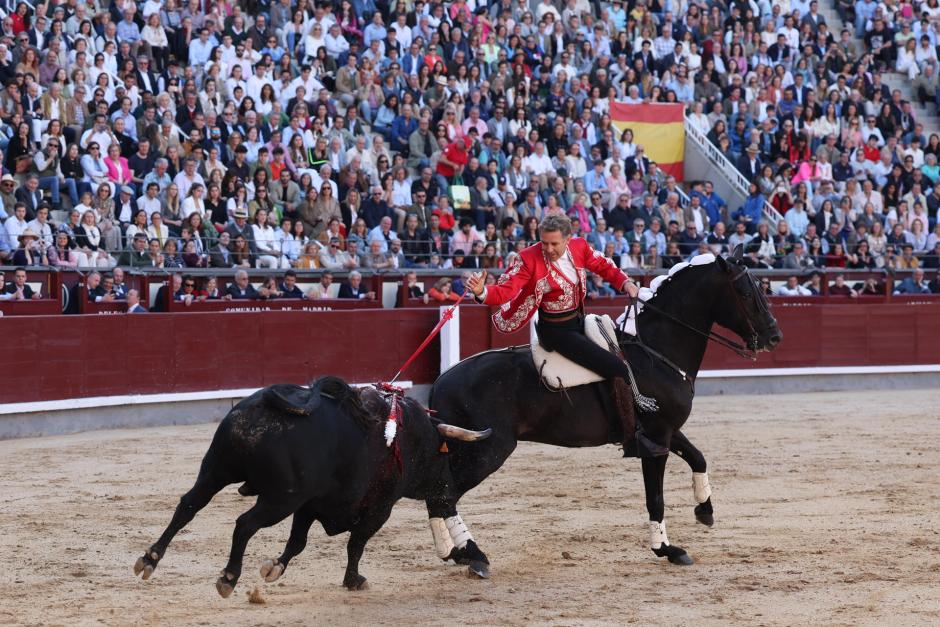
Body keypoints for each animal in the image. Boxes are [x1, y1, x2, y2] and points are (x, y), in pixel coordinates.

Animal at [137, 376, 496, 596]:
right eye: (444, 453)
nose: (447, 493)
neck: (411, 436)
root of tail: (261, 406)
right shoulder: (378, 509)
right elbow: (356, 544)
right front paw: (354, 580)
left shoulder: (310, 506)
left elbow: (298, 542)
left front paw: (274, 568)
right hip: (280, 498)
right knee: (244, 524)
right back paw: (228, 577)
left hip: (216, 471)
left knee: (189, 505)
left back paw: (150, 559)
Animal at [424, 250, 780, 580]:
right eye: (747, 293)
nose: (774, 336)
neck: (654, 352)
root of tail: (440, 383)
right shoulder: (656, 439)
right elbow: (656, 498)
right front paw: (667, 549)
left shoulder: (666, 431)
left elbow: (698, 457)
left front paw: (704, 510)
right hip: (488, 451)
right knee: (444, 496)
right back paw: (471, 555)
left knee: (438, 494)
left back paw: (456, 552)